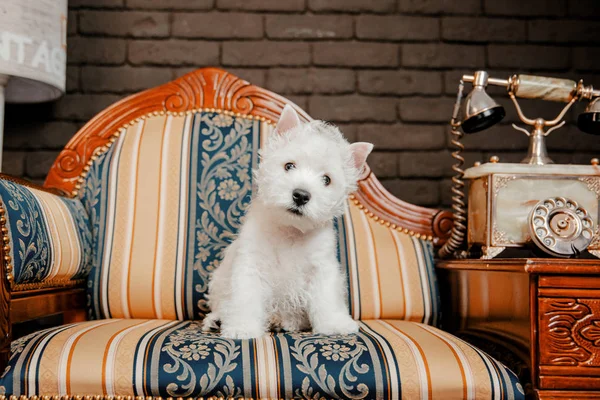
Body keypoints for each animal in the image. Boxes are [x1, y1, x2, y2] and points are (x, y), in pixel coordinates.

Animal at [204, 104, 372, 340]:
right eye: (289, 166)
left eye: (326, 179)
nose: (301, 195)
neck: (290, 230)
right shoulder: (251, 266)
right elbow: (246, 299)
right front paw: (242, 328)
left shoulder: (321, 268)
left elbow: (327, 299)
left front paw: (335, 324)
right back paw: (217, 321)